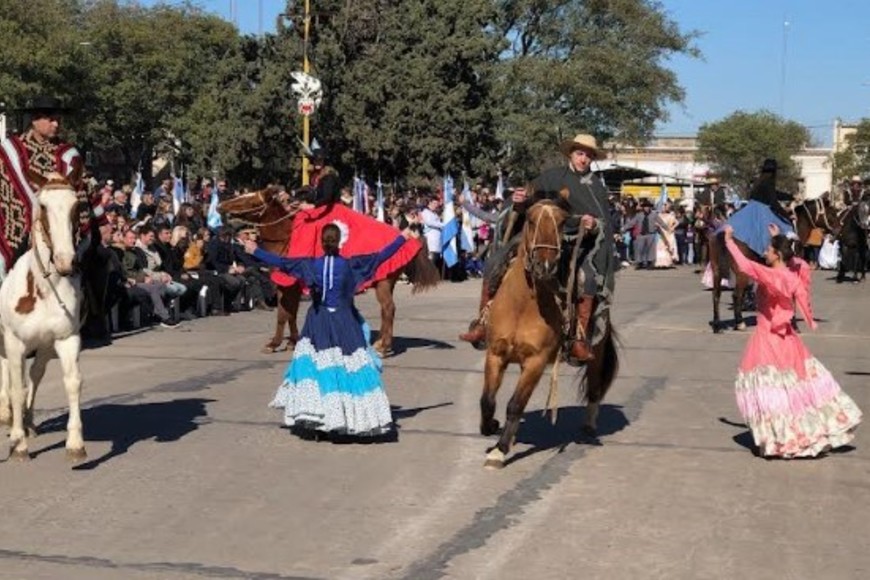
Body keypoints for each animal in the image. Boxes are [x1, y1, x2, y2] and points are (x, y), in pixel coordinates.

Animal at [0, 173, 86, 462]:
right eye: (44, 206)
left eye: (76, 206)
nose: (65, 262)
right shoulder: (15, 342)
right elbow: (17, 387)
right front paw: (18, 444)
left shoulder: (65, 339)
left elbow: (72, 383)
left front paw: (75, 443)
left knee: (34, 375)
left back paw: (26, 421)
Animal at [221, 188, 440, 356]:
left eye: (250, 199)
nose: (221, 206)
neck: (287, 238)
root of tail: (405, 239)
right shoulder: (291, 286)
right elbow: (290, 313)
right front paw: (291, 342)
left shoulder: (287, 284)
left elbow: (283, 314)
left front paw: (274, 344)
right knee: (387, 310)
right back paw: (381, 343)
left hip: (383, 283)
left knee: (388, 309)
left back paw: (382, 347)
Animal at [476, 199, 620, 472]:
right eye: (531, 220)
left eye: (562, 222)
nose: (545, 266)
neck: (522, 305)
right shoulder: (495, 354)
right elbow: (487, 400)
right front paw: (491, 427)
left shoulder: (536, 361)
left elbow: (515, 405)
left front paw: (500, 450)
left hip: (595, 352)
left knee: (595, 386)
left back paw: (589, 425)